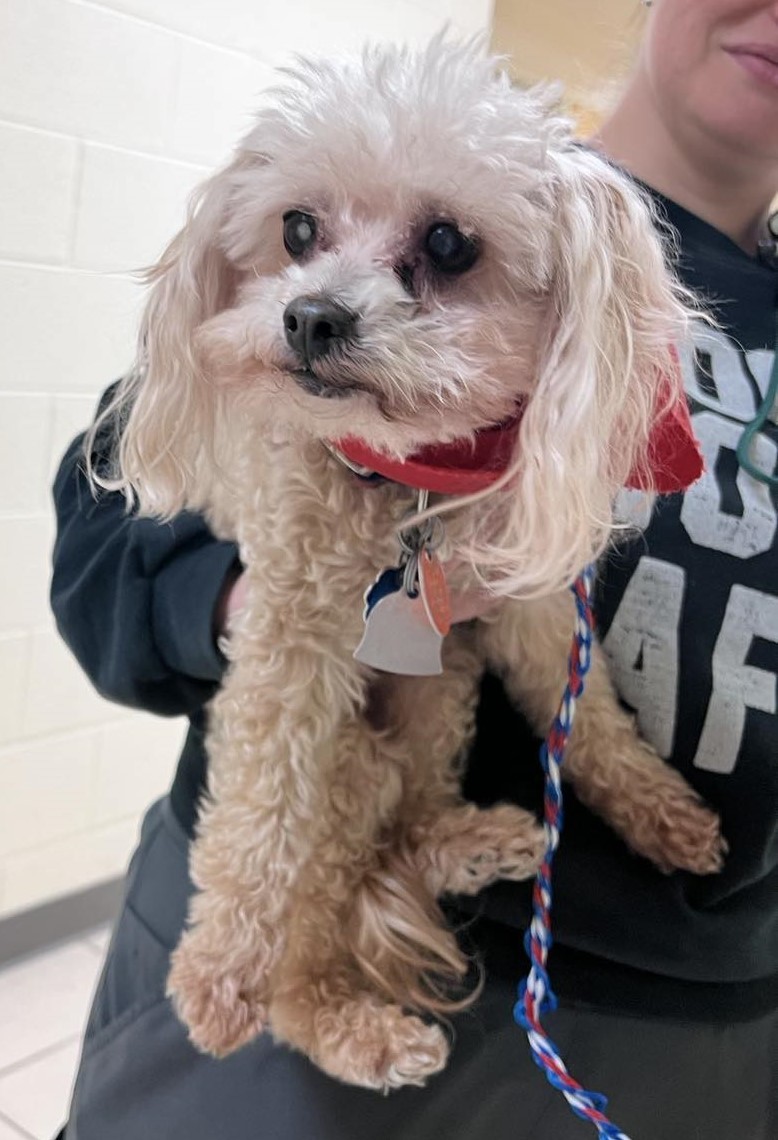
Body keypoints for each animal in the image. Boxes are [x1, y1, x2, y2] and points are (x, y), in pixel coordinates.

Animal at [96, 37, 720, 1094]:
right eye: (298, 228)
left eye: (448, 244)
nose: (310, 317)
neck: (410, 483)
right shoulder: (287, 638)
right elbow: (255, 819)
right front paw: (216, 966)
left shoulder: (526, 611)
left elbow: (591, 719)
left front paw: (658, 810)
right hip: (347, 756)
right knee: (309, 935)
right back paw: (346, 1026)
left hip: (438, 687)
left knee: (407, 829)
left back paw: (469, 846)